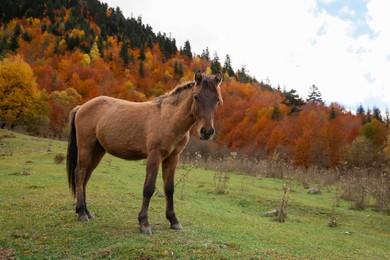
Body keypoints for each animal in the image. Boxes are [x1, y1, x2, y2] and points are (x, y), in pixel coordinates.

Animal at [68, 70, 222, 235]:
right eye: (196, 97)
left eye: (217, 100)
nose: (206, 131)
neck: (169, 118)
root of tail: (82, 107)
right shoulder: (154, 156)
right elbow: (148, 188)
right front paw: (144, 223)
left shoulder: (172, 158)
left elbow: (169, 189)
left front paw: (174, 221)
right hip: (86, 147)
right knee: (80, 175)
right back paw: (82, 213)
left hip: (97, 151)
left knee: (86, 177)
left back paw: (87, 212)